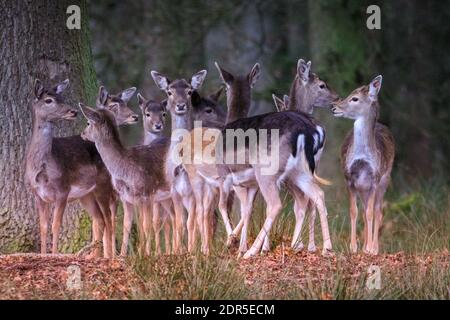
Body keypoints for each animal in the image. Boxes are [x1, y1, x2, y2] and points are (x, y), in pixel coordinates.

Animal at [330, 75, 394, 255]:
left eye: (355, 98)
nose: (334, 107)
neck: (362, 157)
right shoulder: (349, 178)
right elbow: (354, 211)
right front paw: (353, 247)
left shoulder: (375, 178)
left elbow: (372, 213)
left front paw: (371, 248)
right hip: (362, 187)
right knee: (366, 211)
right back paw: (365, 245)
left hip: (384, 180)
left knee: (378, 211)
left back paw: (374, 247)